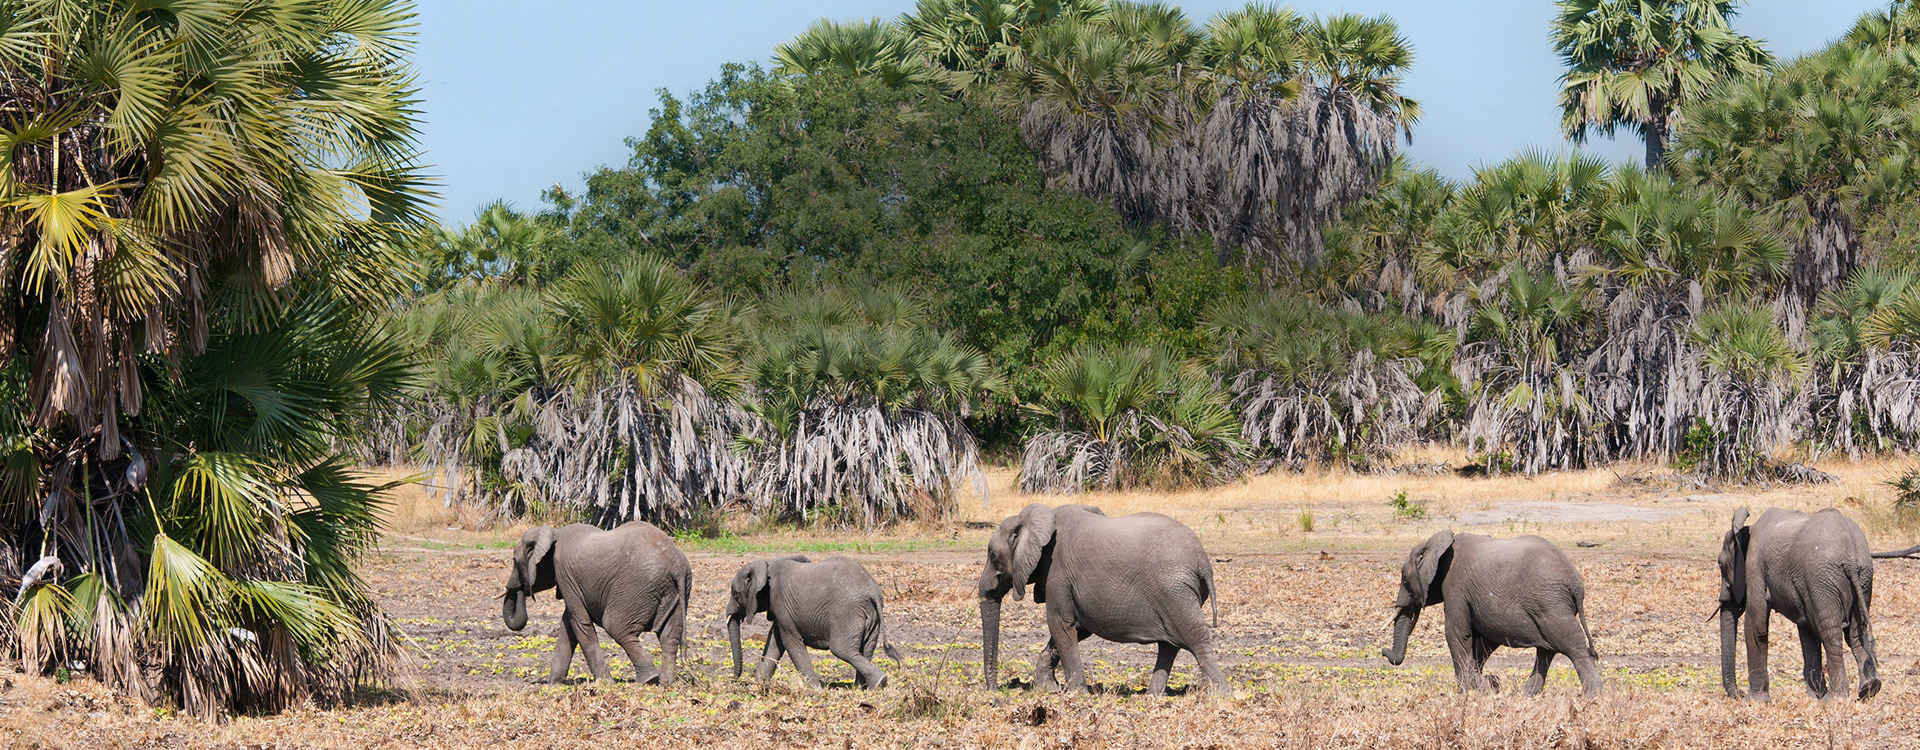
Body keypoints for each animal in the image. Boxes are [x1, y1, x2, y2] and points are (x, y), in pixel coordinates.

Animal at [503, 521, 691, 686]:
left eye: (514, 560)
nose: (520, 588)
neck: (553, 533)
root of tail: (677, 565)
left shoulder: (565, 574)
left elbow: (580, 623)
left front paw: (605, 683)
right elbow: (568, 625)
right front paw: (553, 684)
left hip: (637, 587)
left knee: (616, 626)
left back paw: (649, 680)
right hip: (673, 591)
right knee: (669, 635)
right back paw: (665, 682)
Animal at [721, 556, 902, 690]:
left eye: (734, 592)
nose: (735, 679)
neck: (767, 564)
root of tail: (873, 590)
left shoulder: (780, 602)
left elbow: (790, 641)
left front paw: (815, 689)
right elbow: (775, 642)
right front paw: (760, 684)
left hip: (846, 613)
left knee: (842, 649)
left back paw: (879, 682)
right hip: (871, 616)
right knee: (866, 649)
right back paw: (863, 688)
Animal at [975, 506, 1228, 698]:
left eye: (992, 555)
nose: (995, 694)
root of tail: (1203, 560)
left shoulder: (1057, 573)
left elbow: (1060, 625)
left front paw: (1075, 694)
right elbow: (1075, 629)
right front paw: (1050, 689)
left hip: (1175, 593)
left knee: (1195, 639)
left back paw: (1222, 694)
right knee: (1169, 645)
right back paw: (1152, 697)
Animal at [1382, 529, 1605, 698]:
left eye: (1404, 579)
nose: (1383, 651)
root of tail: (1576, 584)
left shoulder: (1454, 586)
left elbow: (1456, 633)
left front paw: (1471, 691)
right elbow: (1481, 642)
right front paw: (1481, 687)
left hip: (1551, 603)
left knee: (1572, 645)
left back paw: (1593, 695)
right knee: (1546, 650)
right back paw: (1527, 695)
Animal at [1720, 506, 1881, 702]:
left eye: (1721, 565)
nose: (1739, 694)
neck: (1747, 530)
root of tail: (1850, 557)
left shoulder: (1755, 568)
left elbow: (1756, 625)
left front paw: (1756, 701)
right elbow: (1807, 631)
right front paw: (1814, 697)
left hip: (1822, 579)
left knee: (1831, 633)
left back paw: (1834, 699)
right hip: (1861, 577)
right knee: (1854, 633)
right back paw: (1869, 688)